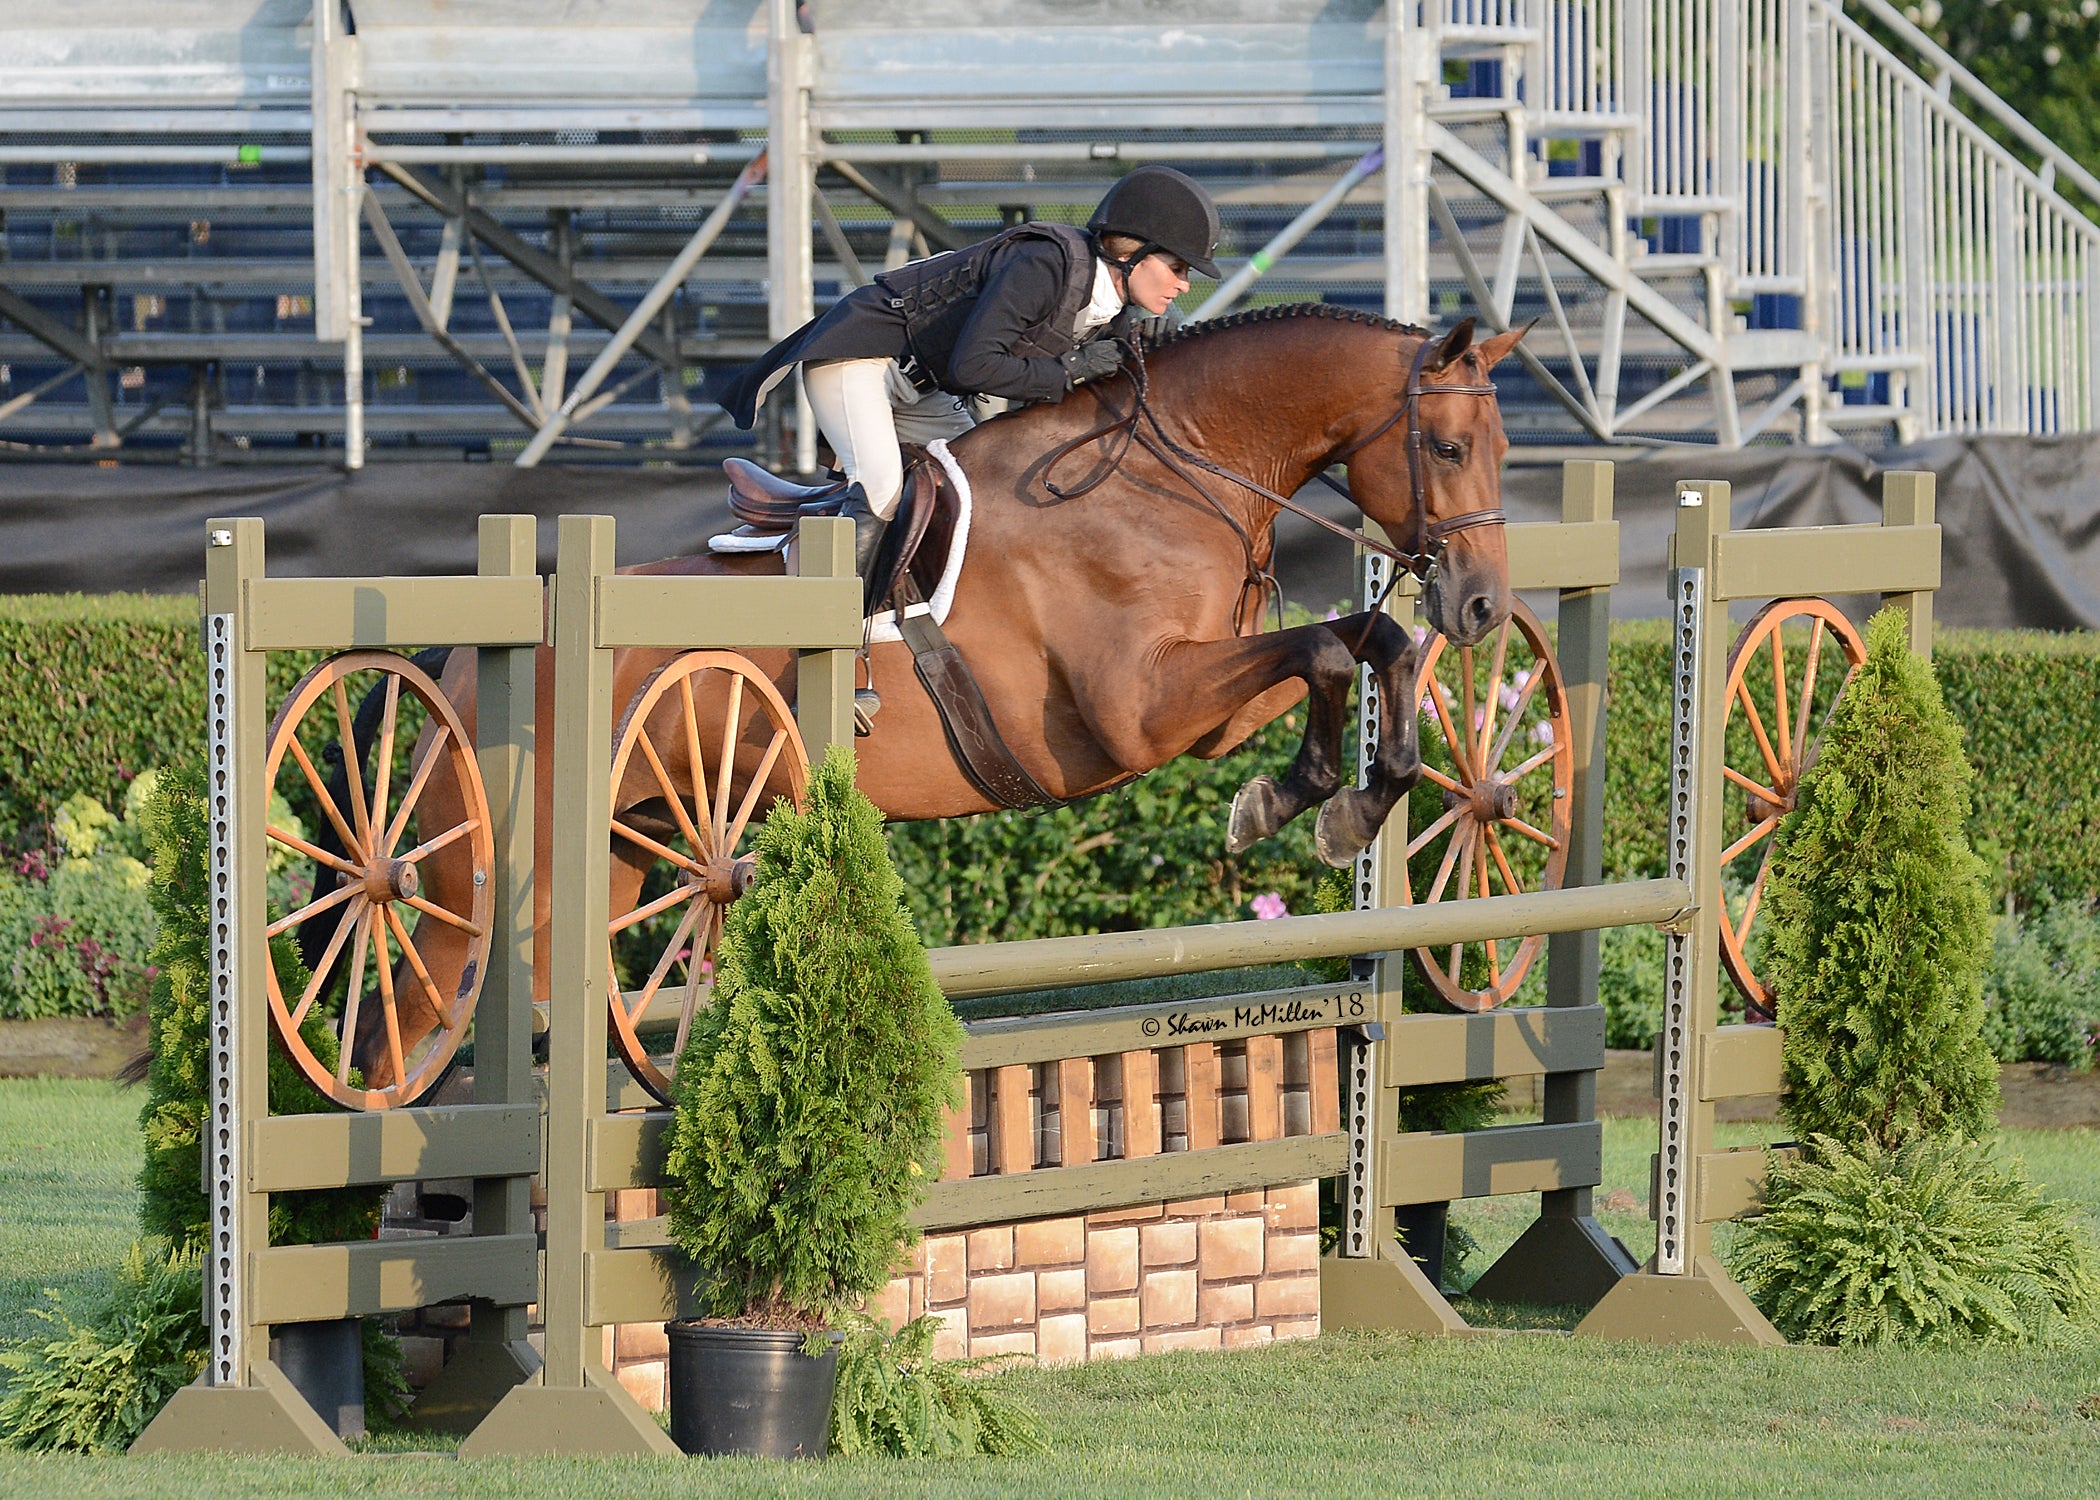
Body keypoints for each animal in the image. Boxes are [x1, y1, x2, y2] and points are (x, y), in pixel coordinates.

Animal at [314, 305, 1524, 1091]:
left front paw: (1347, 800)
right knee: (398, 1025)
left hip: (613, 856)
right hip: (488, 877)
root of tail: (469, 651)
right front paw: (1307, 801)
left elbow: (1367, 642)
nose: (1481, 607)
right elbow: (1326, 650)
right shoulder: (1138, 712)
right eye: (1446, 445)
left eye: (1505, 449)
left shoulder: (1205, 702)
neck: (1171, 470)